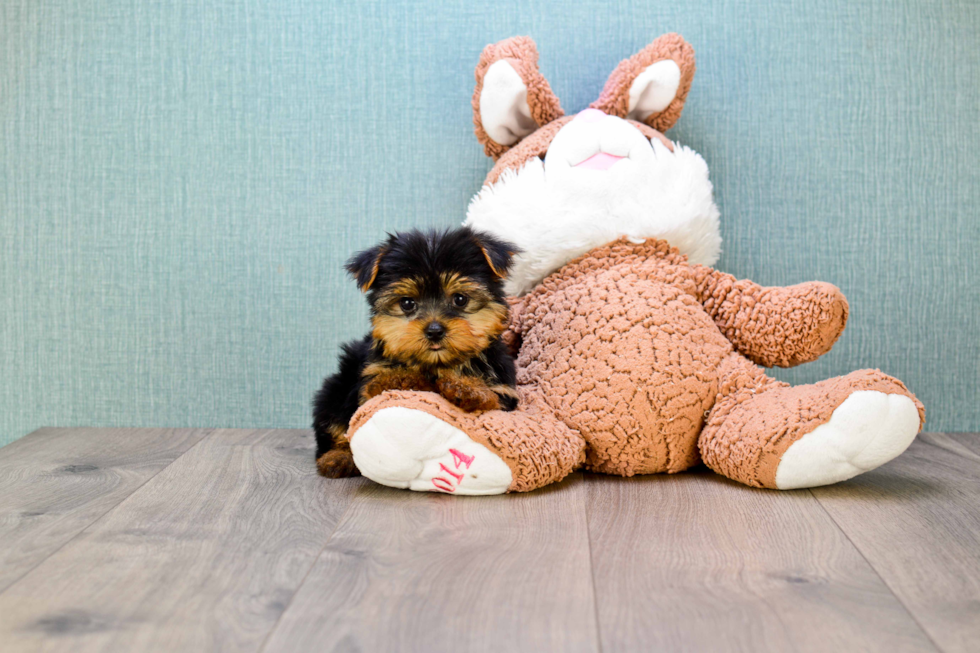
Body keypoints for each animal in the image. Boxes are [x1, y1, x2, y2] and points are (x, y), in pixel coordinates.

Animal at [318, 227, 524, 476]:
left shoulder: (504, 389)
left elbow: (493, 402)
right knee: (337, 424)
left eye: (460, 299)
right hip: (335, 390)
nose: (434, 331)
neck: (436, 363)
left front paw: (468, 389)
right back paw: (337, 457)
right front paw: (401, 378)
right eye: (407, 303)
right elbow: (374, 392)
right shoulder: (369, 378)